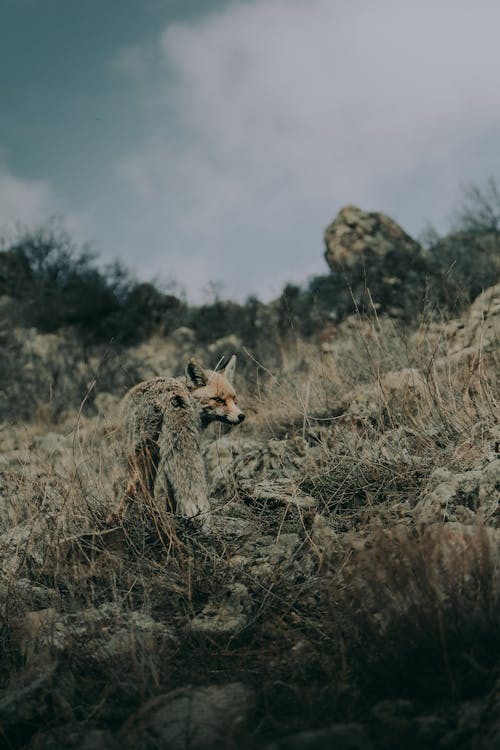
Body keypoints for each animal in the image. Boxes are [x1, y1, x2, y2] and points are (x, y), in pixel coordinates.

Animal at [114, 356, 246, 528]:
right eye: (218, 400)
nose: (241, 416)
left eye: (234, 400)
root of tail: (173, 394)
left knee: (136, 488)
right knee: (136, 488)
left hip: (149, 453)